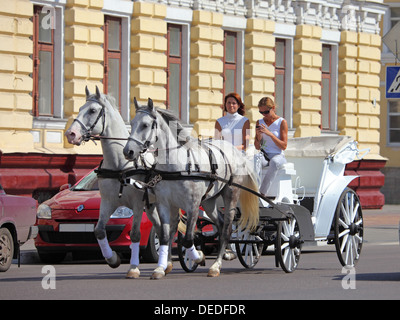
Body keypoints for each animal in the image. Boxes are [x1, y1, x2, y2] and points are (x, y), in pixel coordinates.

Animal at [65, 86, 173, 278]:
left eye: (92, 110)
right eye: (80, 108)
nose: (71, 134)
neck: (120, 166)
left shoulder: (137, 204)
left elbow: (136, 234)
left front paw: (133, 267)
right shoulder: (108, 202)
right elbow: (99, 230)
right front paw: (112, 259)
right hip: (151, 207)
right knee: (162, 230)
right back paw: (165, 264)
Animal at [122, 98, 260, 278]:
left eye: (145, 125)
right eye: (131, 123)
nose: (128, 151)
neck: (176, 166)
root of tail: (236, 153)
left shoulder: (192, 205)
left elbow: (188, 238)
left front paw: (199, 257)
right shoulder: (164, 204)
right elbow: (165, 235)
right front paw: (160, 268)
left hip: (230, 195)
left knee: (227, 229)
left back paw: (216, 265)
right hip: (209, 202)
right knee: (220, 223)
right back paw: (225, 254)